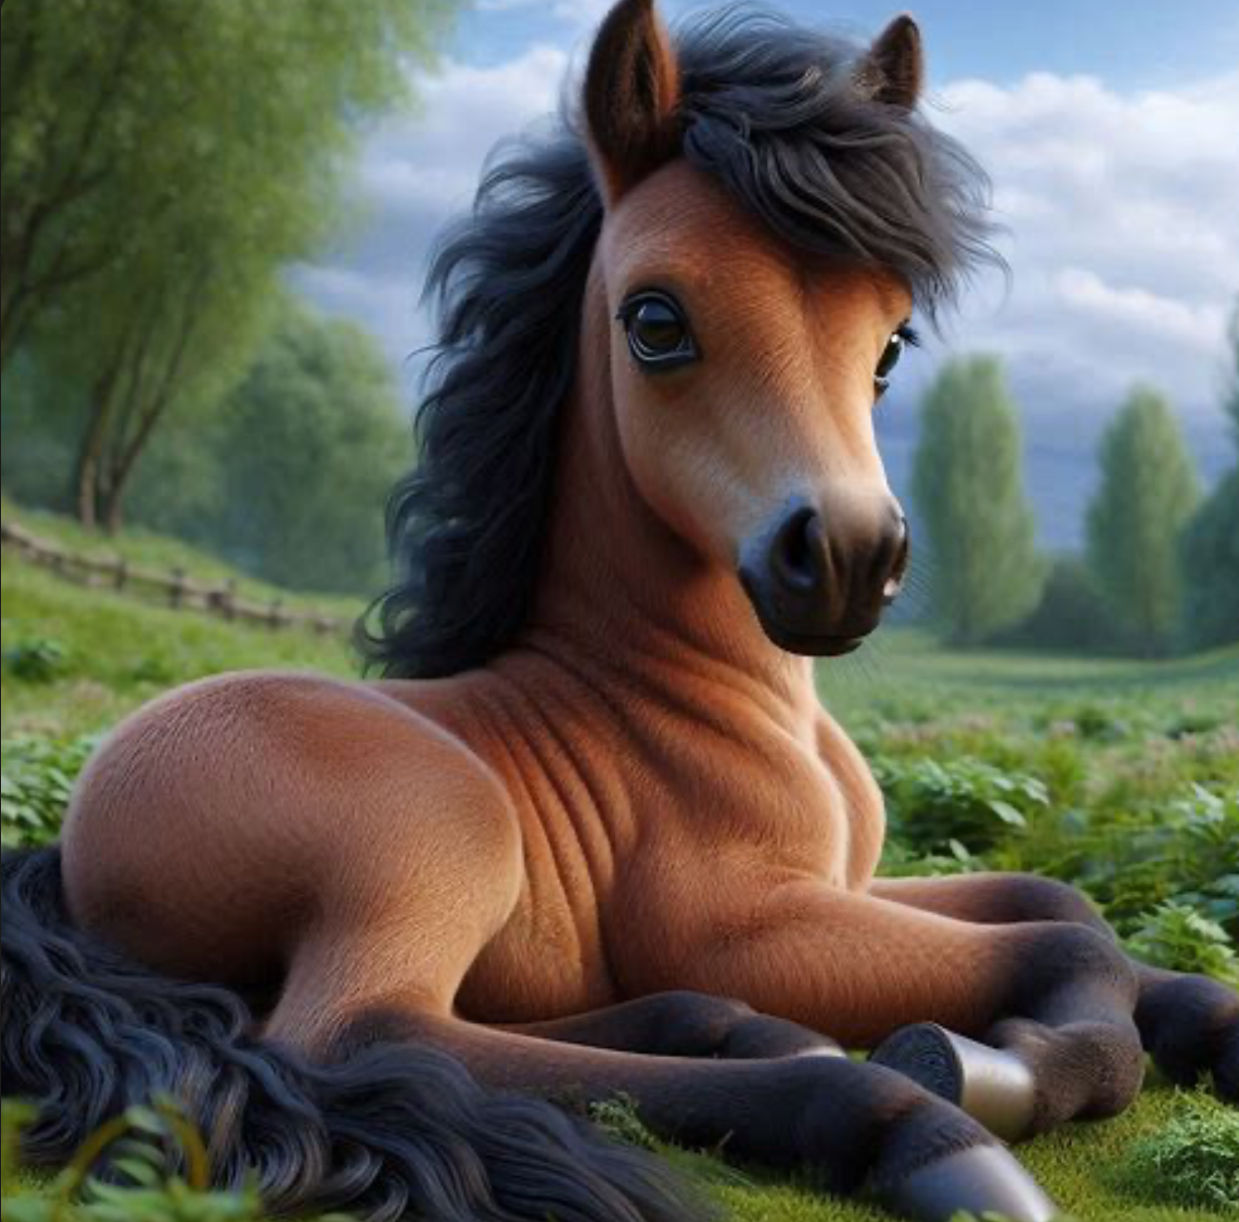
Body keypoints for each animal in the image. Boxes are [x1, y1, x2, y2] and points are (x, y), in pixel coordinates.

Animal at [3, 3, 1236, 1221]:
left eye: (891, 343)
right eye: (654, 322)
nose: (847, 558)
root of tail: (69, 843)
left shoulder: (848, 885)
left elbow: (1061, 903)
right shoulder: (747, 923)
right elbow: (1064, 951)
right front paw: (1007, 1063)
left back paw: (746, 1031)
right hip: (434, 833)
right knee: (363, 1034)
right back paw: (905, 1123)